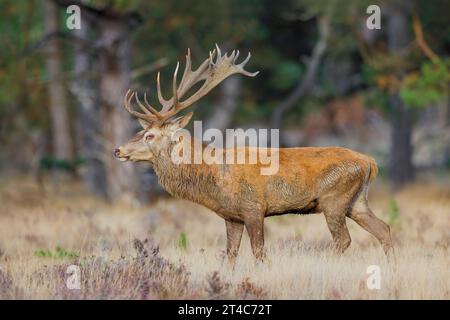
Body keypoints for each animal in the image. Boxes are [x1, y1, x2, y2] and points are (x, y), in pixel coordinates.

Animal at [113, 45, 394, 264]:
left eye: (150, 136)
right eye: (141, 131)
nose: (117, 150)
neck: (215, 179)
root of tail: (370, 162)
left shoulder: (253, 207)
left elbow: (259, 252)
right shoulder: (232, 216)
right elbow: (230, 255)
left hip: (334, 198)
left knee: (343, 239)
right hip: (357, 201)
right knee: (384, 229)